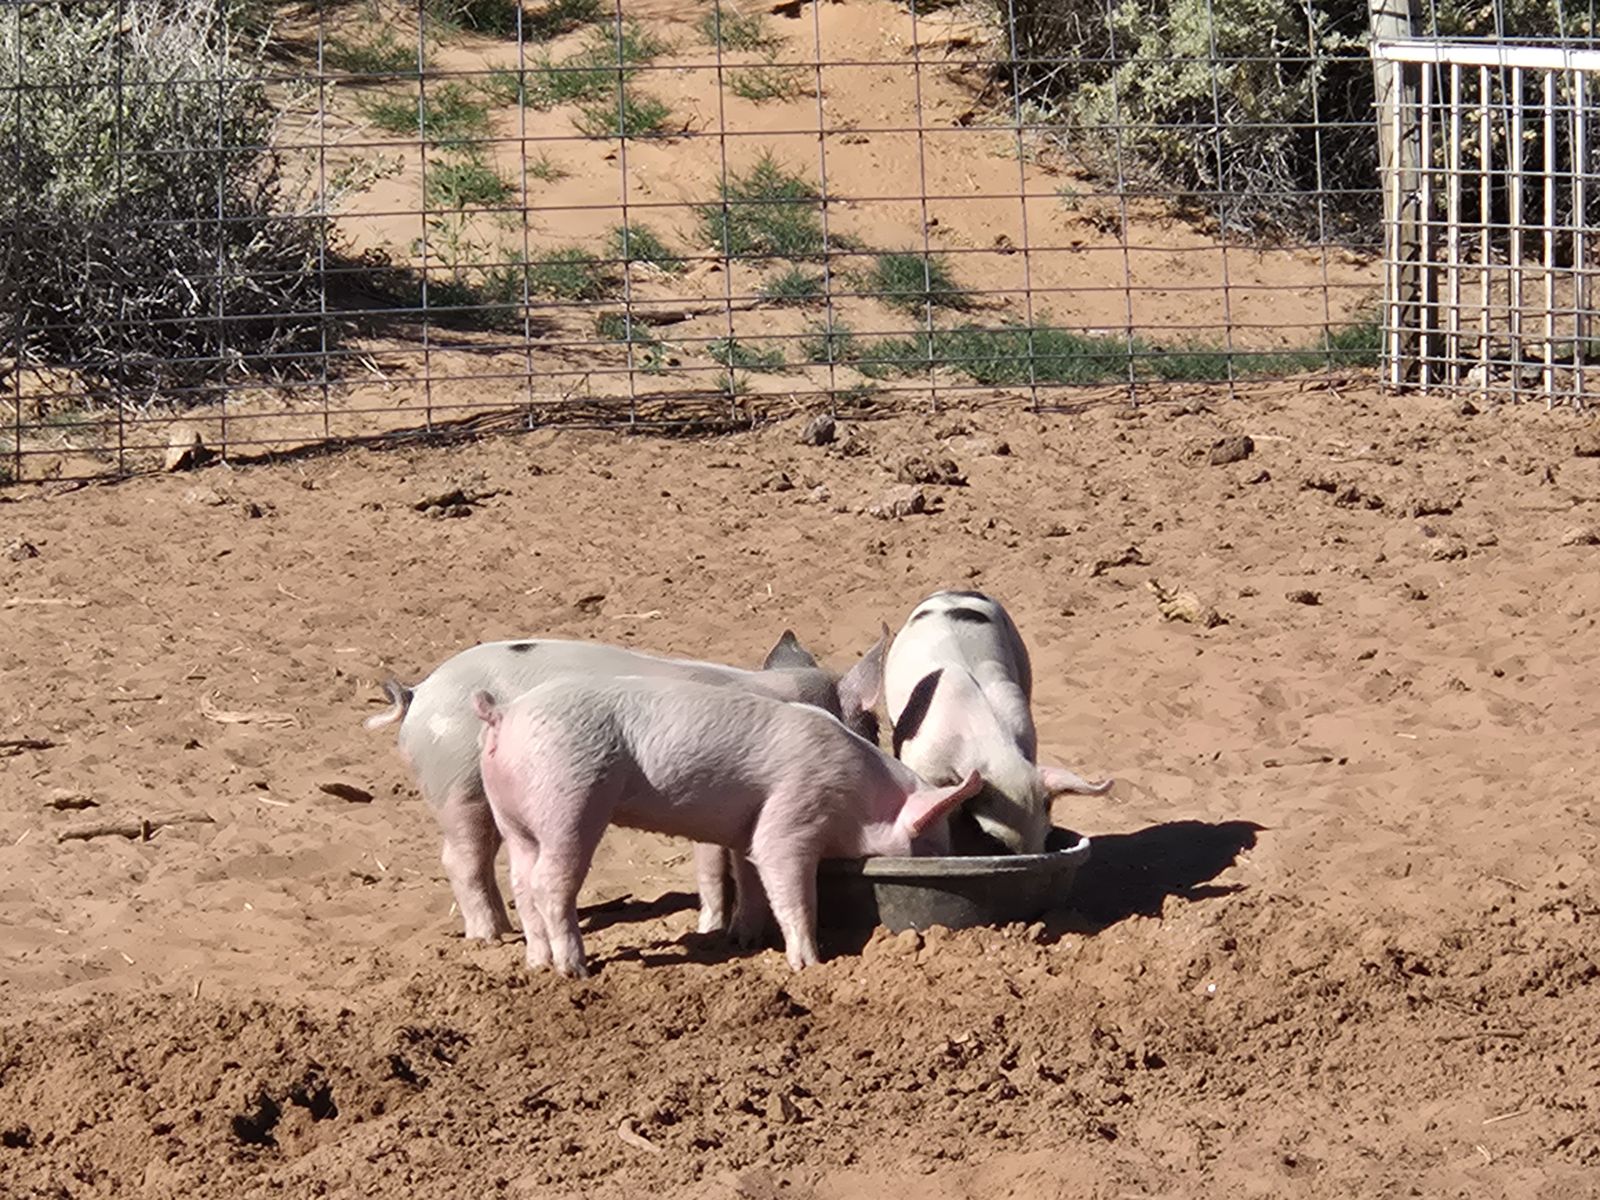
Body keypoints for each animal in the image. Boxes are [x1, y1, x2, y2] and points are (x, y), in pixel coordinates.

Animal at [365, 630, 887, 941]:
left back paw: (508, 928)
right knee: (460, 861)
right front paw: (722, 933)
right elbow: (720, 871)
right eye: (873, 727)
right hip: (458, 789)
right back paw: (491, 936)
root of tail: (416, 695)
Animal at [469, 675, 982, 976]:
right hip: (570, 797)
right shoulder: (795, 808)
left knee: (521, 882)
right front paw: (810, 965)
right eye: (930, 842)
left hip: (513, 815)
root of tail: (503, 713)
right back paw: (575, 969)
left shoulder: (748, 824)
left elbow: (750, 873)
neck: (857, 795)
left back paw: (537, 964)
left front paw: (742, 939)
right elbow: (784, 874)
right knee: (549, 883)